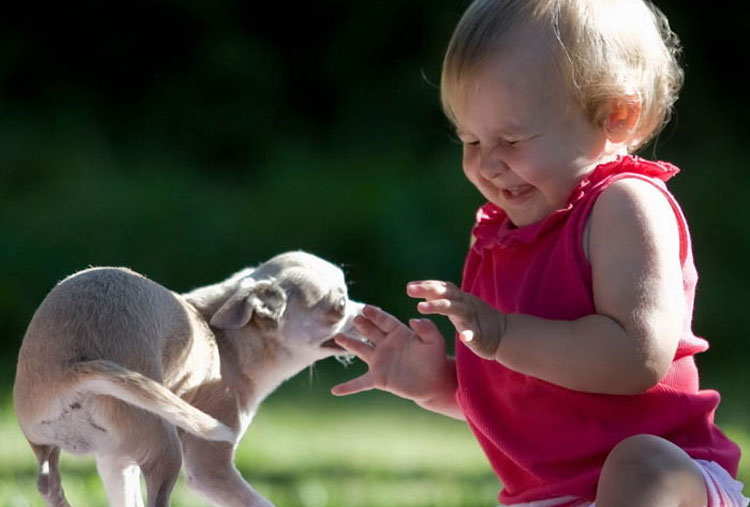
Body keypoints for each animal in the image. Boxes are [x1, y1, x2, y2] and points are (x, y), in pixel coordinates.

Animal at [11, 251, 364, 507]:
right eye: (341, 305)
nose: (366, 311)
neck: (226, 340)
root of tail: (71, 370)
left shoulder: (115, 461)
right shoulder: (209, 470)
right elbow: (261, 503)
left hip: (49, 441)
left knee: (49, 484)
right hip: (166, 447)